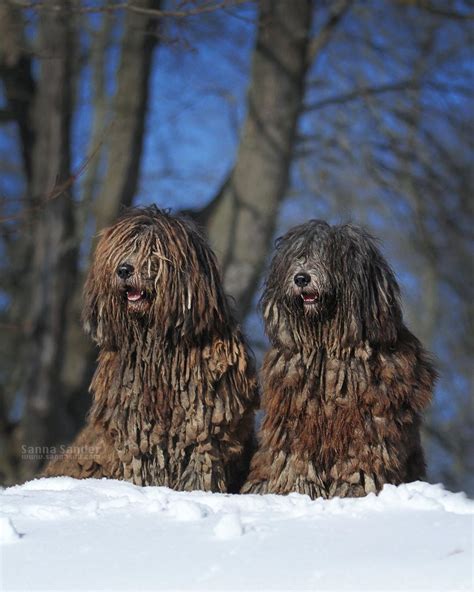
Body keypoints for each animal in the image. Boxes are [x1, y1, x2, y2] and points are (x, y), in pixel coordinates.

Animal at [44, 206, 258, 492]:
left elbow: (200, 464)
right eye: (123, 248)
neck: (157, 346)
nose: (124, 269)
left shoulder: (204, 424)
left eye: (153, 249)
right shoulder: (135, 427)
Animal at [243, 220, 436, 498]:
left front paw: (352, 489)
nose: (301, 277)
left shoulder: (367, 421)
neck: (327, 346)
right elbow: (294, 456)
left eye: (327, 258)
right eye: (298, 256)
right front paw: (296, 489)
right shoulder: (297, 415)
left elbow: (360, 459)